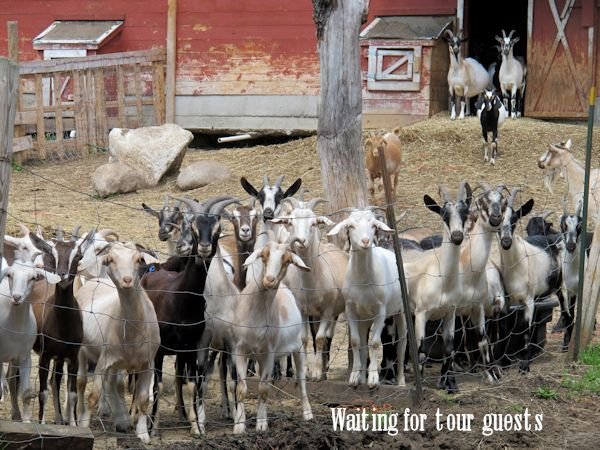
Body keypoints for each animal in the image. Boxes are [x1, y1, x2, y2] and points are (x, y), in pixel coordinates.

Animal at [0, 246, 61, 422]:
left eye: (33, 278)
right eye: (10, 275)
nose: (17, 297)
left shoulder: (24, 357)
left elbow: (26, 392)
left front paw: (26, 420)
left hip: (14, 358)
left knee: (12, 380)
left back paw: (16, 414)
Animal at [74, 243, 159, 442]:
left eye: (139, 259)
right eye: (110, 259)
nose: (127, 280)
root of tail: (94, 280)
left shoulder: (148, 362)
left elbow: (143, 399)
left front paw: (143, 434)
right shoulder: (104, 359)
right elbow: (93, 395)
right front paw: (84, 425)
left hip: (117, 363)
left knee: (112, 383)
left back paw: (121, 420)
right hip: (83, 351)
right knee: (81, 382)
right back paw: (79, 414)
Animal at [231, 236, 312, 432]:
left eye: (287, 260)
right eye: (264, 255)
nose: (269, 280)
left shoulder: (269, 352)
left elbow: (263, 389)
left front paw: (261, 424)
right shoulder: (239, 350)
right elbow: (242, 388)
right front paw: (239, 426)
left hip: (298, 347)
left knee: (301, 380)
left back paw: (308, 414)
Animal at [328, 209, 408, 388]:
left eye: (374, 226)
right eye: (350, 226)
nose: (365, 241)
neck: (363, 280)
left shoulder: (381, 311)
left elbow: (375, 343)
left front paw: (373, 379)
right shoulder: (350, 309)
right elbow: (356, 342)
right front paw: (355, 377)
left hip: (401, 311)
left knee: (402, 343)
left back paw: (401, 381)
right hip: (365, 318)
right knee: (364, 346)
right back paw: (362, 378)